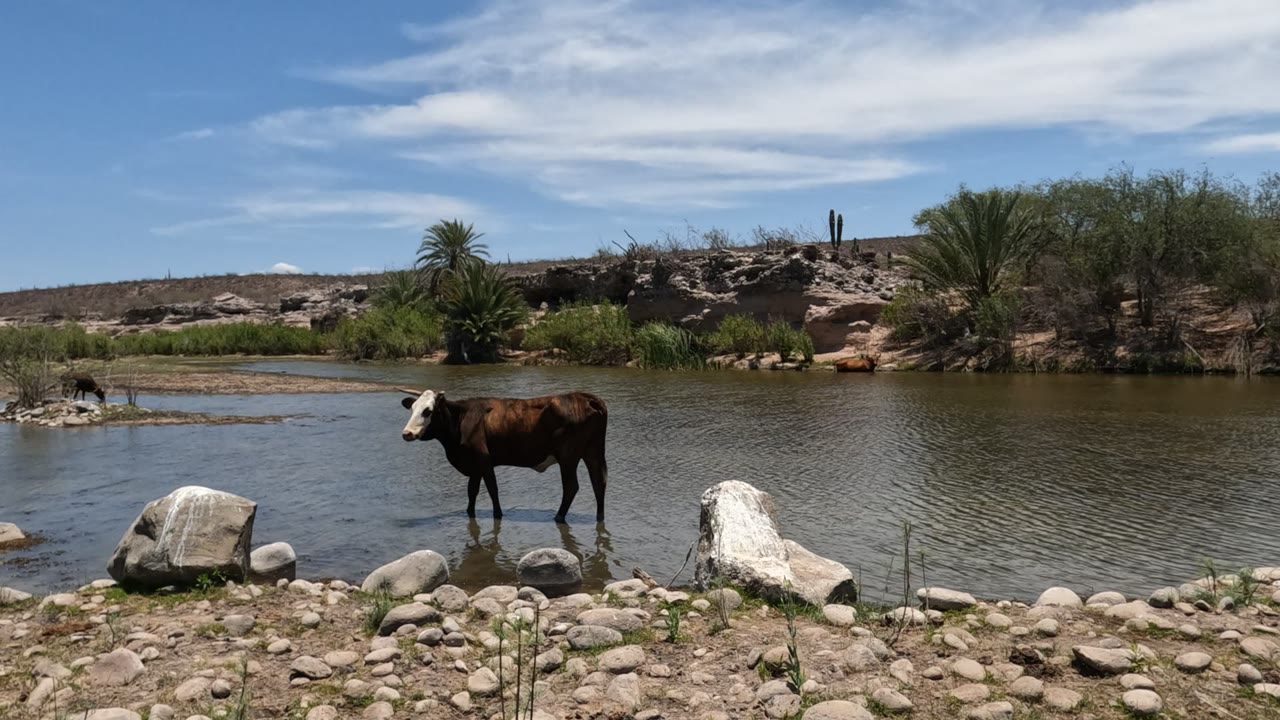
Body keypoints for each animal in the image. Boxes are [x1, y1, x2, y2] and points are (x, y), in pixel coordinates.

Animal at [398, 389, 608, 524]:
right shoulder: (474, 466)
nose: (406, 433)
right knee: (599, 482)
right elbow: (472, 491)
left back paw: (558, 517)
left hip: (568, 457)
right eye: (412, 408)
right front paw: (470, 513)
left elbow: (492, 489)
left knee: (572, 487)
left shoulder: (483, 459)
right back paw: (600, 517)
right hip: (593, 452)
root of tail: (584, 397)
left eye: (428, 411)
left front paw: (498, 514)